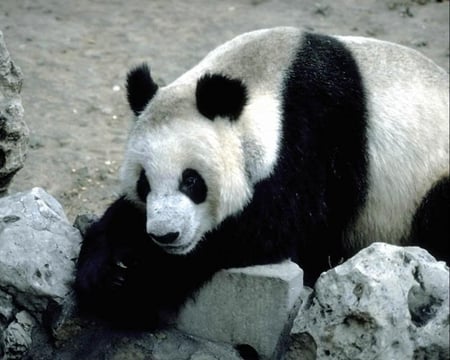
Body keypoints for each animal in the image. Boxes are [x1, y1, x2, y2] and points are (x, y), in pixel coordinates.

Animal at [75, 26, 448, 330]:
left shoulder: (316, 135)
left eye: (191, 181)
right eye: (144, 183)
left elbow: (265, 230)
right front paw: (103, 268)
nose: (166, 235)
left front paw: (135, 288)